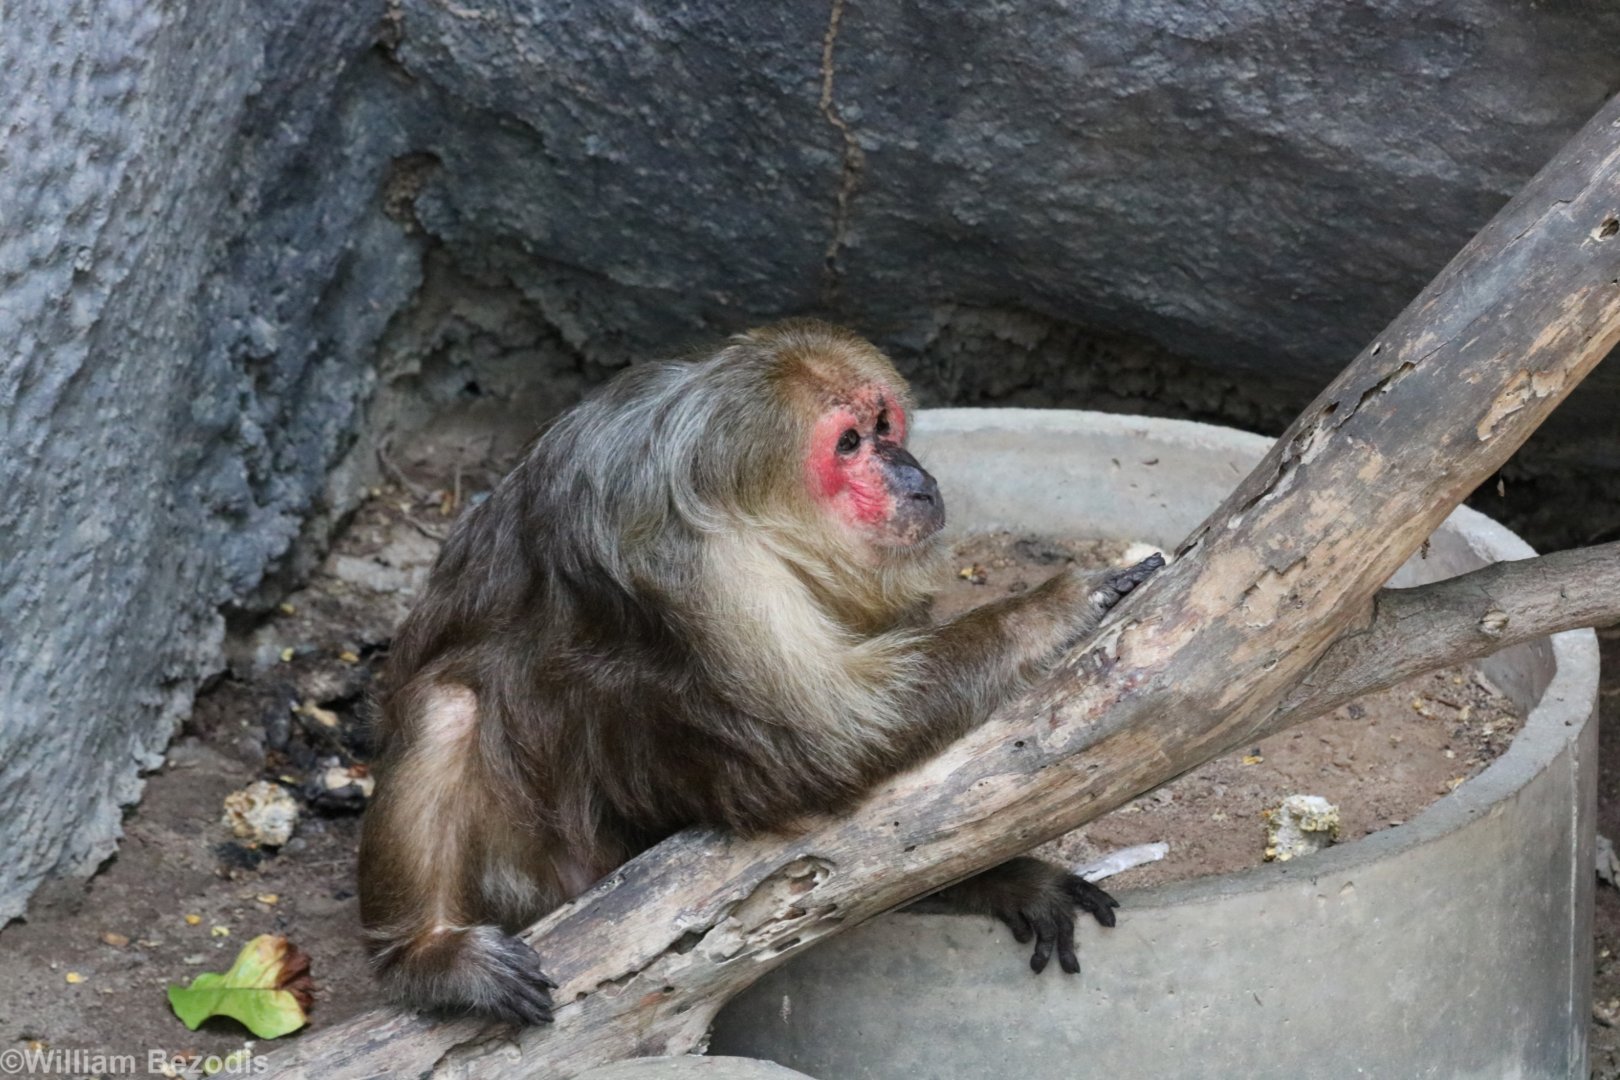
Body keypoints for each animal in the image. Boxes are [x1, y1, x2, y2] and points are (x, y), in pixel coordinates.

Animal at [357, 319, 1163, 1024]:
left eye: (884, 425)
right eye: (847, 445)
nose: (910, 476)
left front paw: (1000, 876)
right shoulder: (705, 567)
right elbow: (831, 738)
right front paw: (1053, 608)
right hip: (533, 871)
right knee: (447, 708)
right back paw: (422, 957)